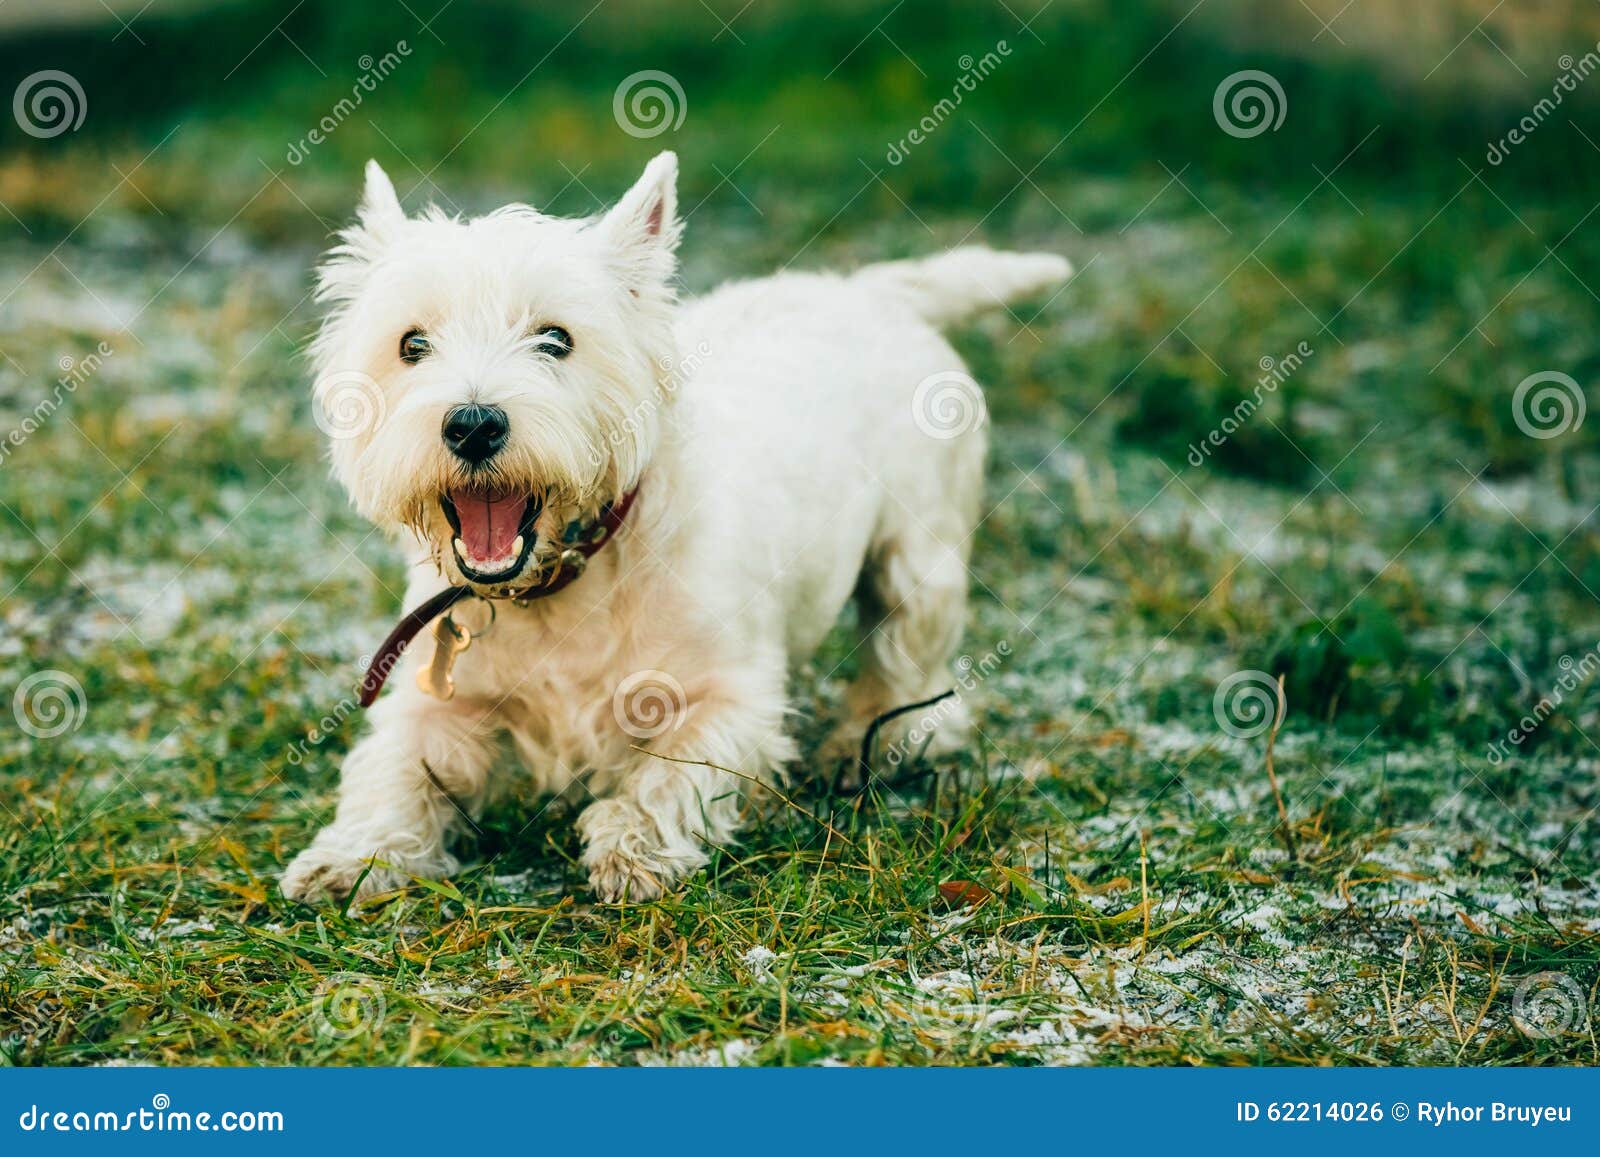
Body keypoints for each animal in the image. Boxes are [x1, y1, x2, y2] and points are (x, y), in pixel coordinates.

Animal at [281, 151, 1068, 902]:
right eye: (412, 345)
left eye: (556, 339)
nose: (473, 425)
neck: (563, 579)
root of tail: (865, 291)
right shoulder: (435, 700)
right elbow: (392, 772)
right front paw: (350, 857)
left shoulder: (730, 696)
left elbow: (672, 769)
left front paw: (633, 847)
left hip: (918, 554)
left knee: (910, 660)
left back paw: (866, 743)